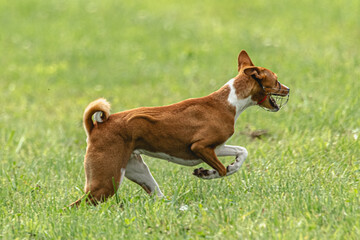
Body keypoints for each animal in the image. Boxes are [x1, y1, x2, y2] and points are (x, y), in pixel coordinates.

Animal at [69, 50, 290, 206]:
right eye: (277, 79)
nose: (289, 89)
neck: (229, 101)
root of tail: (95, 127)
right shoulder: (200, 147)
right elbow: (221, 170)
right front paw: (207, 173)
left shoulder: (216, 147)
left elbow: (242, 152)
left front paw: (233, 165)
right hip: (106, 183)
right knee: (76, 206)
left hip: (137, 170)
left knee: (157, 197)